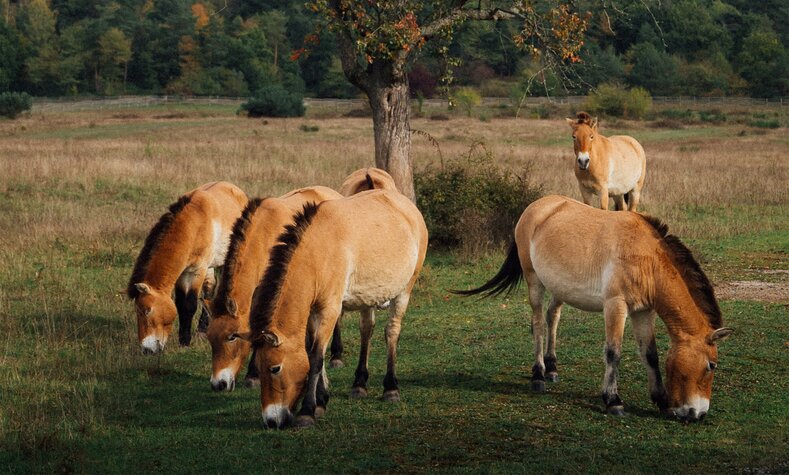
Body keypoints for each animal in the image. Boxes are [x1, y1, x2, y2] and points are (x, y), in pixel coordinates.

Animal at [127, 180, 248, 356]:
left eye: (147, 310)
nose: (147, 350)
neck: (193, 225)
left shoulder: (196, 271)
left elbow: (189, 304)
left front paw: (185, 341)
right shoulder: (183, 273)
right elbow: (180, 304)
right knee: (209, 289)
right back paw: (202, 329)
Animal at [206, 184, 342, 392]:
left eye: (232, 336)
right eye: (210, 338)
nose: (218, 384)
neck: (262, 236)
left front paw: (253, 375)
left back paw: (337, 356)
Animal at [242, 191, 428, 432]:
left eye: (275, 368)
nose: (272, 421)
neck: (317, 251)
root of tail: (407, 205)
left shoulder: (330, 310)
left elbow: (316, 357)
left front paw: (307, 412)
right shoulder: (313, 311)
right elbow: (312, 351)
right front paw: (321, 401)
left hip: (405, 290)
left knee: (392, 332)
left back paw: (390, 388)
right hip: (368, 296)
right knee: (366, 330)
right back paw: (359, 384)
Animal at [456, 195, 732, 422]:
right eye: (712, 365)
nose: (698, 414)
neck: (646, 258)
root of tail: (535, 207)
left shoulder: (643, 312)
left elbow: (650, 354)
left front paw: (661, 401)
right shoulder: (615, 305)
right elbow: (613, 352)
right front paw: (613, 401)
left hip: (559, 288)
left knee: (552, 317)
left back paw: (552, 368)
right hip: (534, 281)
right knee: (537, 324)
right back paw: (538, 375)